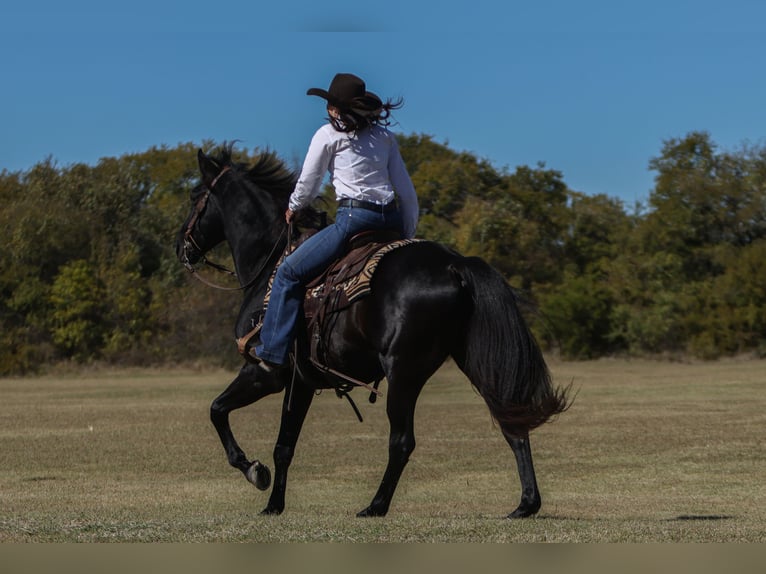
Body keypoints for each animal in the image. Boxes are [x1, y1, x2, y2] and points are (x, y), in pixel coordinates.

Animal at [175, 143, 569, 518]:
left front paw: (253, 471)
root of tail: (454, 264)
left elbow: (218, 410)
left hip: (404, 371)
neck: (271, 263)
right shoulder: (300, 382)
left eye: (196, 196)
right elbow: (284, 446)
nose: (181, 246)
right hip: (474, 360)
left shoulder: (266, 373)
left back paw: (375, 505)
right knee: (511, 421)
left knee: (402, 441)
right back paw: (526, 504)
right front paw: (273, 504)